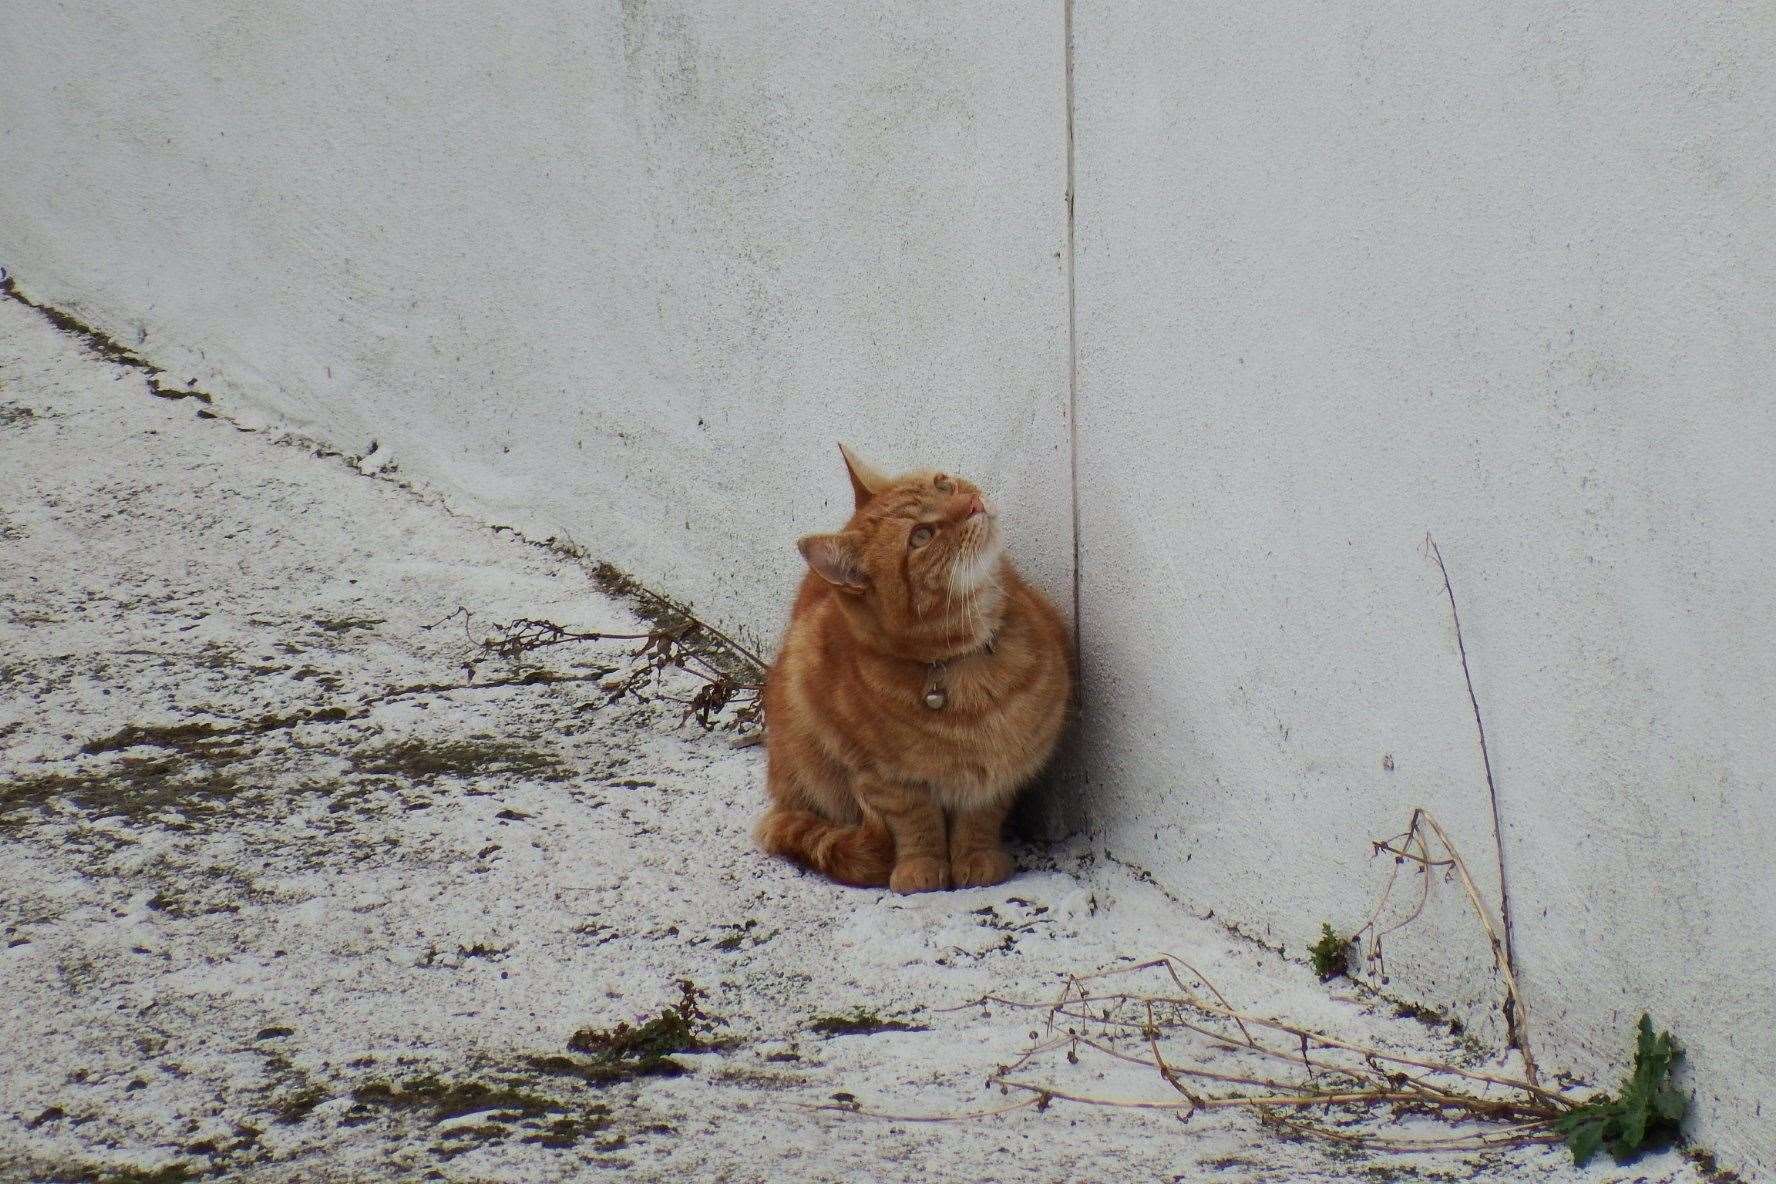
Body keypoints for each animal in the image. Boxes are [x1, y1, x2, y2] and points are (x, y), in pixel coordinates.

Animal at [753, 449, 1065, 894]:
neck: (969, 663)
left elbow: (980, 817)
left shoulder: (1004, 767)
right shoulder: (880, 776)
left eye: (943, 484)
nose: (971, 503)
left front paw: (976, 857)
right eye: (921, 536)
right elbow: (917, 822)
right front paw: (923, 867)